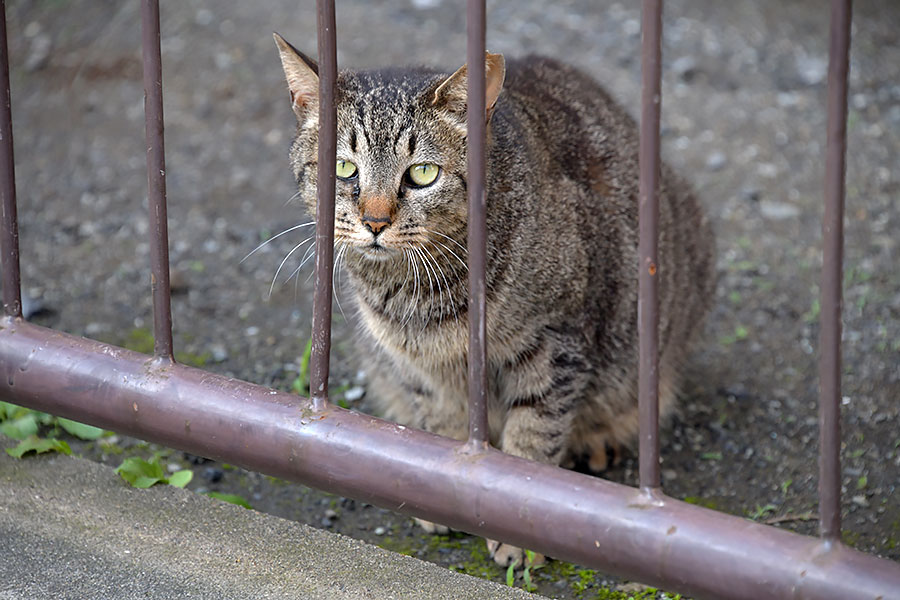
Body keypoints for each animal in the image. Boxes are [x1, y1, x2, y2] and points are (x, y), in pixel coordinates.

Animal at [270, 34, 712, 568]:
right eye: (344, 169)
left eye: (422, 174)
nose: (375, 221)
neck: (415, 293)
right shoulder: (419, 370)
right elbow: (439, 429)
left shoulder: (555, 345)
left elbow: (532, 442)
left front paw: (518, 534)